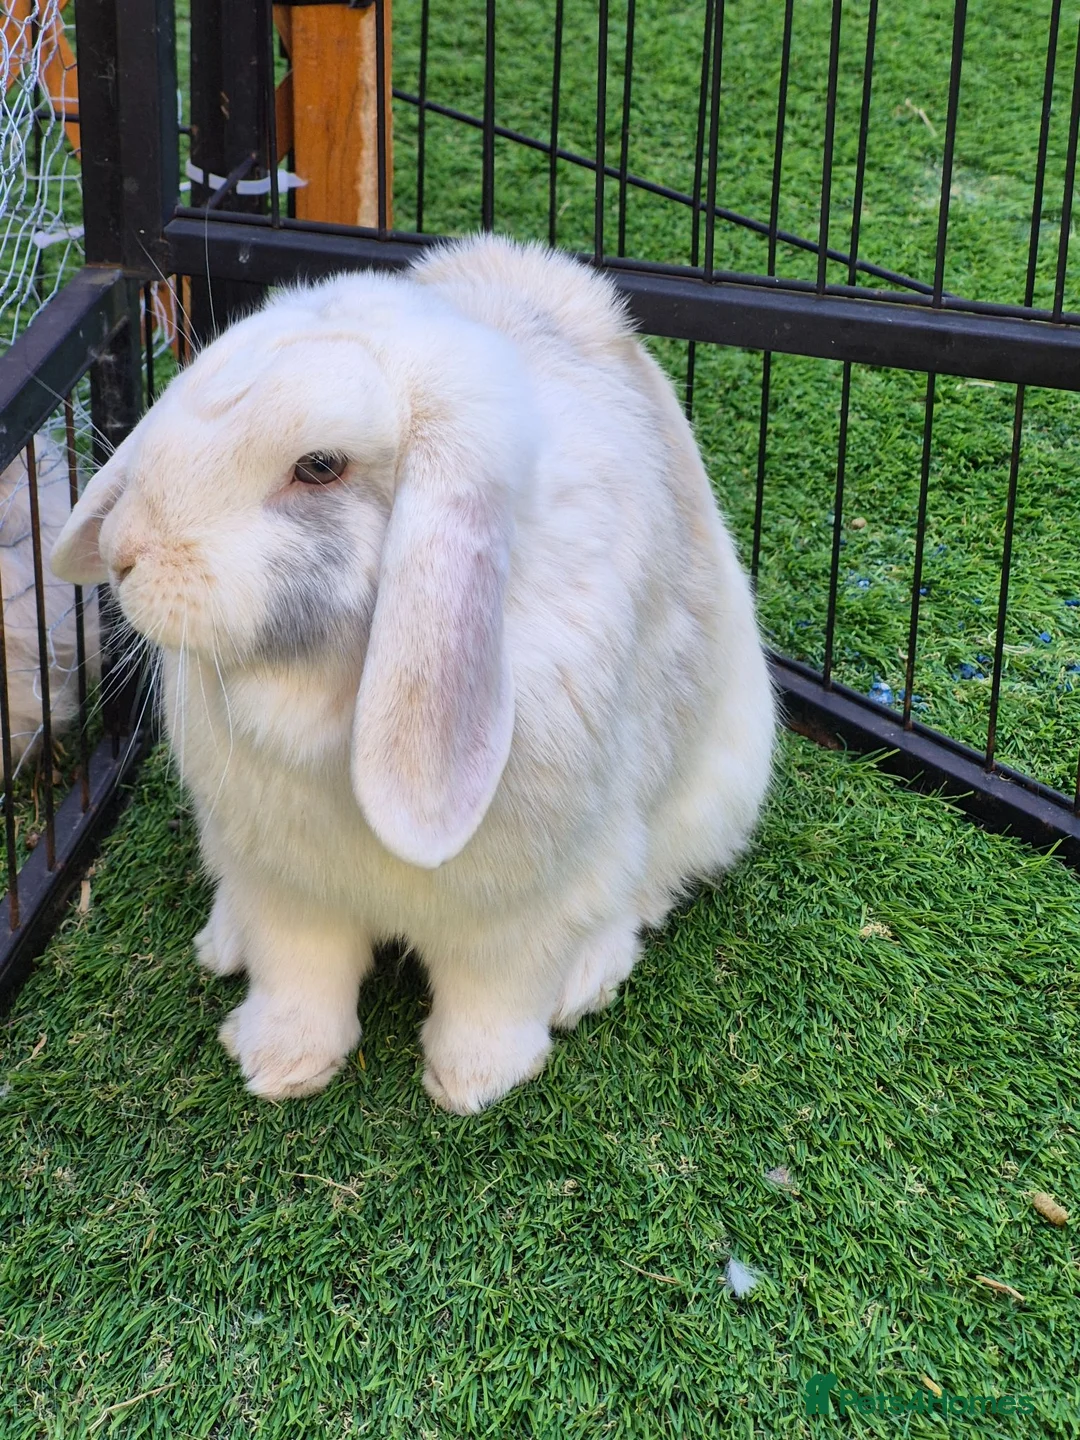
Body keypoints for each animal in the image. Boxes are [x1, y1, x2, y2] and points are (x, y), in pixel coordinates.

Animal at [50, 235, 775, 1114]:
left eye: (318, 466)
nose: (123, 551)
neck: (330, 687)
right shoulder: (288, 887)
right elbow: (299, 976)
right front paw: (279, 1066)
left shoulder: (521, 911)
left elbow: (493, 998)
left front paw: (471, 1084)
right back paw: (223, 942)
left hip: (712, 795)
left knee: (647, 892)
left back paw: (587, 979)